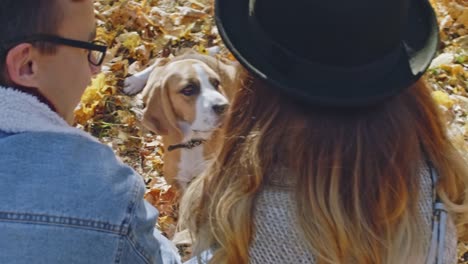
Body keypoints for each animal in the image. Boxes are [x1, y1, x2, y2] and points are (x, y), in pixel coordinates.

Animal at [123, 50, 236, 190]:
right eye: (188, 89)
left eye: (216, 84)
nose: (225, 106)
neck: (192, 143)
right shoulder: (175, 180)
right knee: (161, 60)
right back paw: (134, 81)